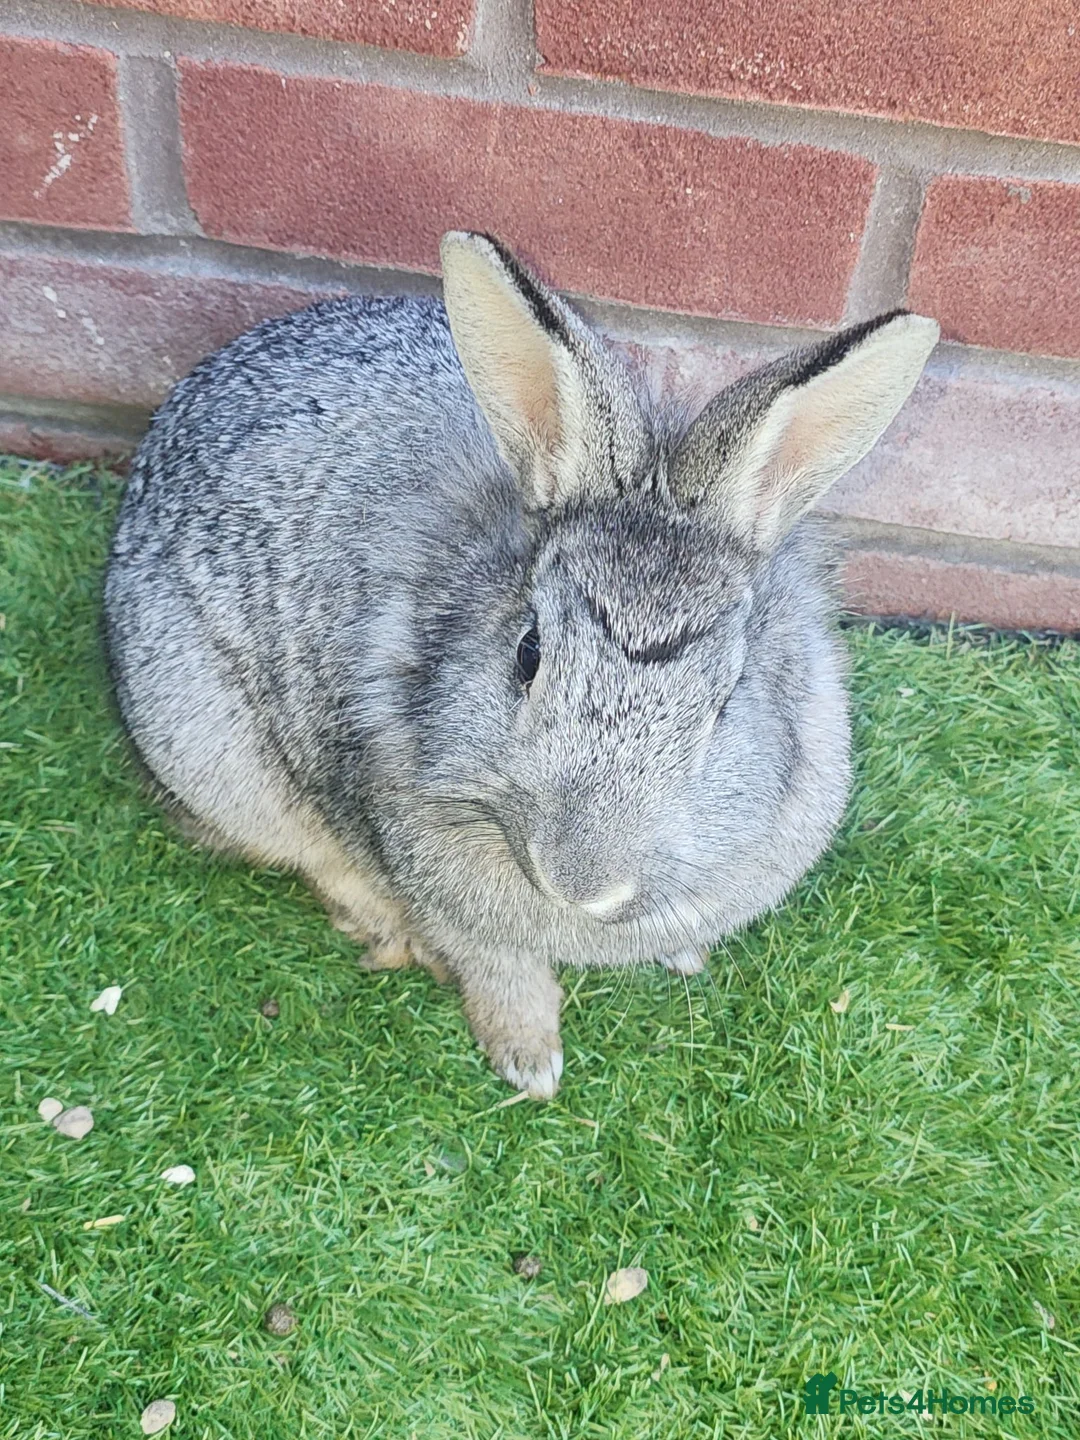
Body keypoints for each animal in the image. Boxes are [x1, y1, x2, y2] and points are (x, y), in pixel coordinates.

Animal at [104, 231, 938, 1098]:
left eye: (730, 698)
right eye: (527, 654)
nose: (580, 879)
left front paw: (682, 954)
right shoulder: (444, 890)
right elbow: (496, 968)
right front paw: (530, 1060)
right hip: (206, 742)